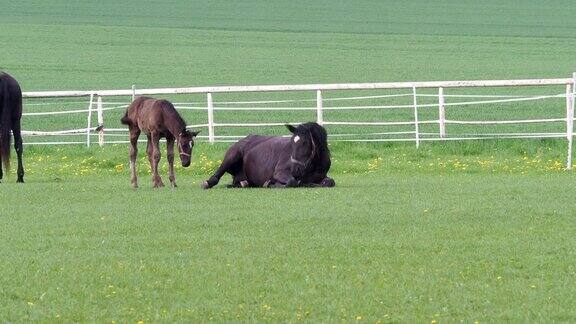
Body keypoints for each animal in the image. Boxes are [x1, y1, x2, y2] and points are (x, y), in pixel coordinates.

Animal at [205, 121, 336, 189]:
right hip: (232, 155)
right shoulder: (280, 173)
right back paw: (207, 183)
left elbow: (329, 182)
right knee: (217, 174)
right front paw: (271, 183)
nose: (295, 170)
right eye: (292, 142)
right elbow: (292, 182)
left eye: (305, 142)